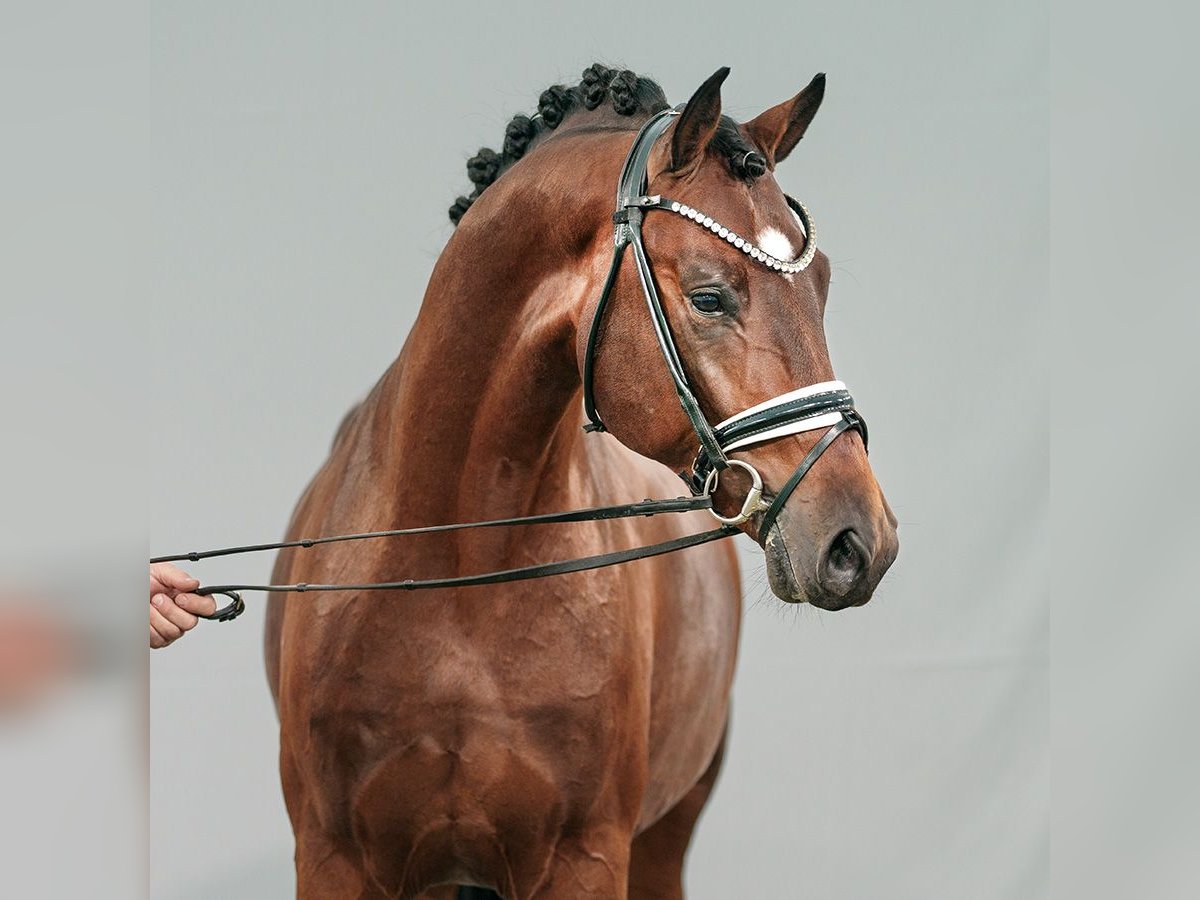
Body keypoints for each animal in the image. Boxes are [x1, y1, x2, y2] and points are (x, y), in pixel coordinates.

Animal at [265, 65, 902, 900]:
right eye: (709, 296)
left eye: (821, 285)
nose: (859, 539)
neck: (456, 569)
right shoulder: (333, 857)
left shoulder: (587, 857)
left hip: (666, 834)